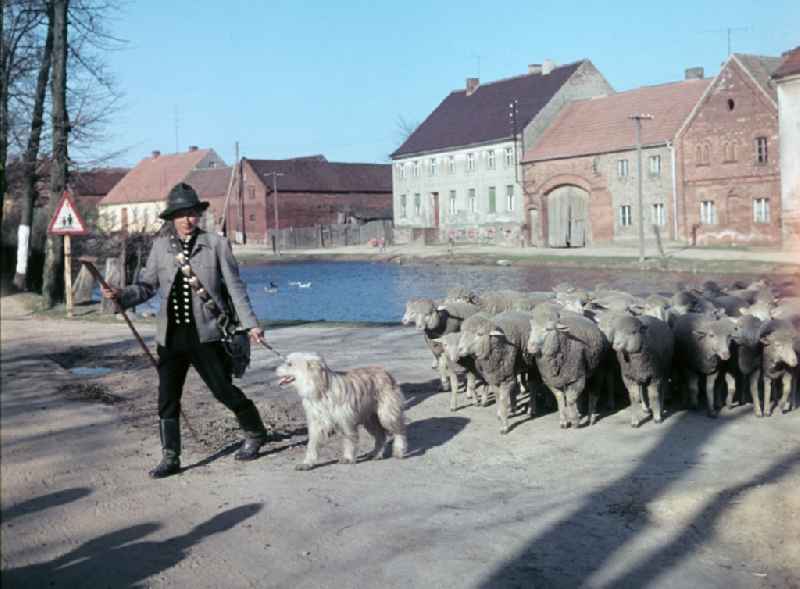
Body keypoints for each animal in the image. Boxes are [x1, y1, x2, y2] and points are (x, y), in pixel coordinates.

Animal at [278, 352, 410, 470]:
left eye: (289, 364)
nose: (275, 369)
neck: (321, 388)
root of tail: (385, 371)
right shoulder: (316, 423)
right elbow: (312, 444)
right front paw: (307, 463)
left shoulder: (345, 421)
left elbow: (349, 439)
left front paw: (347, 458)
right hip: (370, 419)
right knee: (380, 435)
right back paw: (376, 454)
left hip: (387, 414)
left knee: (400, 431)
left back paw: (399, 450)